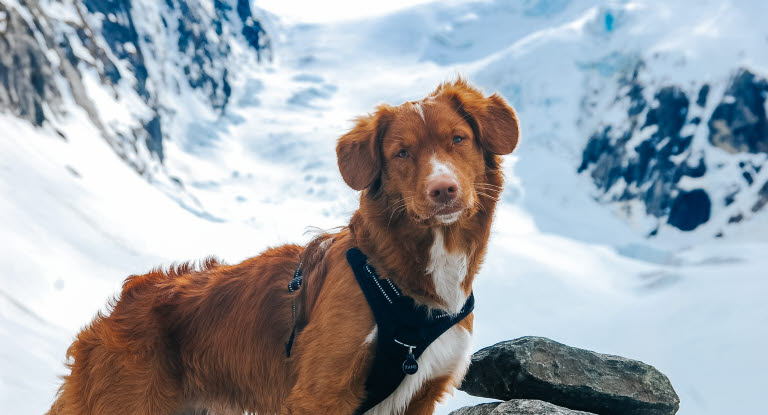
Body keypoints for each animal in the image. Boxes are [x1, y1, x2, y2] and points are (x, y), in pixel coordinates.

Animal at [46, 79, 516, 415]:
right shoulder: (321, 392)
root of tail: (120, 305)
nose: (444, 190)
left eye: (458, 139)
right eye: (402, 153)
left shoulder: (422, 395)